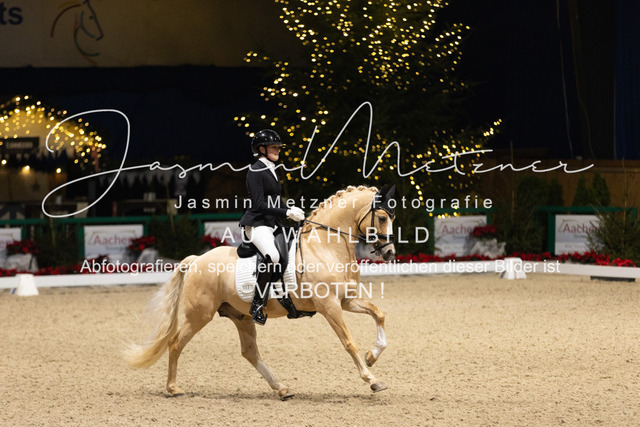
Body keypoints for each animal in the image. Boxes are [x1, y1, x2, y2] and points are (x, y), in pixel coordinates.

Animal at [124, 185, 396, 400]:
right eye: (383, 217)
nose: (390, 253)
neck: (325, 246)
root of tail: (196, 260)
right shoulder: (329, 306)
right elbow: (348, 342)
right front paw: (372, 379)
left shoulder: (347, 300)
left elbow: (380, 314)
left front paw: (372, 355)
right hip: (199, 315)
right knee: (175, 343)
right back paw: (173, 388)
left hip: (241, 316)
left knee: (249, 352)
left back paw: (282, 388)